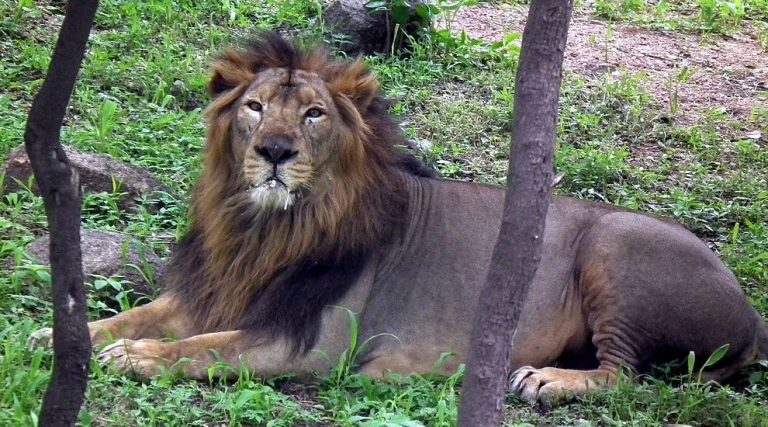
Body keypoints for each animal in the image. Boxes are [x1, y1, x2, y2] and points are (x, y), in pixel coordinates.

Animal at [32, 33, 768, 404]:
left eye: (313, 114)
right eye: (254, 107)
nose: (275, 151)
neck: (261, 231)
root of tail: (753, 314)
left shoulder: (312, 341)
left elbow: (206, 349)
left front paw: (136, 358)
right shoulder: (214, 292)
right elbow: (140, 316)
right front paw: (63, 335)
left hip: (616, 244)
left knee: (624, 375)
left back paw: (546, 379)